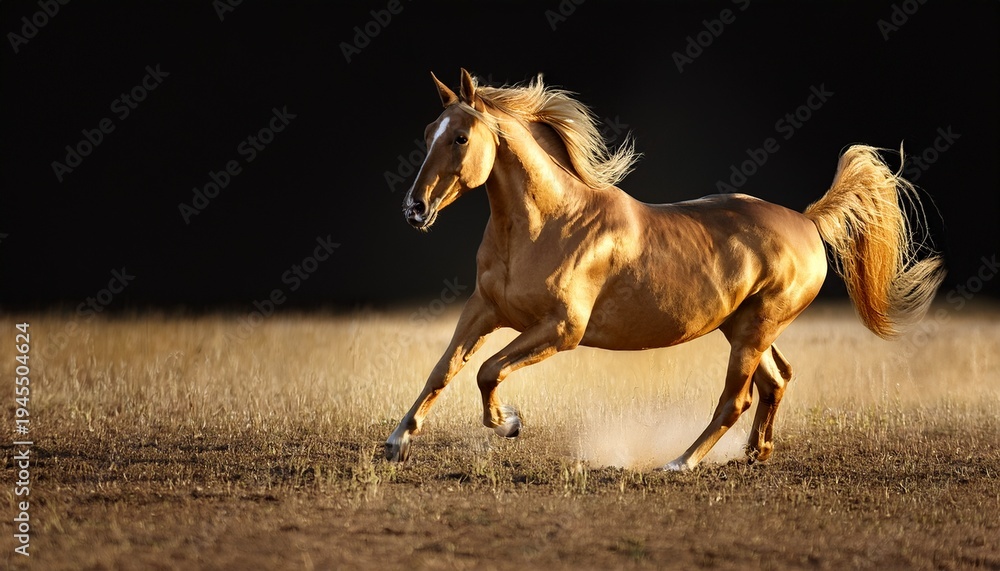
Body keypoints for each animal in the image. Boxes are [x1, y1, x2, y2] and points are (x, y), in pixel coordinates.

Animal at [385, 68, 944, 471]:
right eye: (430, 132)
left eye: (460, 137)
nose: (414, 209)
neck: (546, 224)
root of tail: (807, 220)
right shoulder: (485, 310)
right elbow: (445, 369)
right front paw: (397, 441)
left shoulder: (562, 329)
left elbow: (487, 370)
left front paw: (509, 424)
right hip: (743, 326)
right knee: (776, 381)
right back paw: (754, 454)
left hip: (754, 329)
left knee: (735, 399)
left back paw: (680, 463)